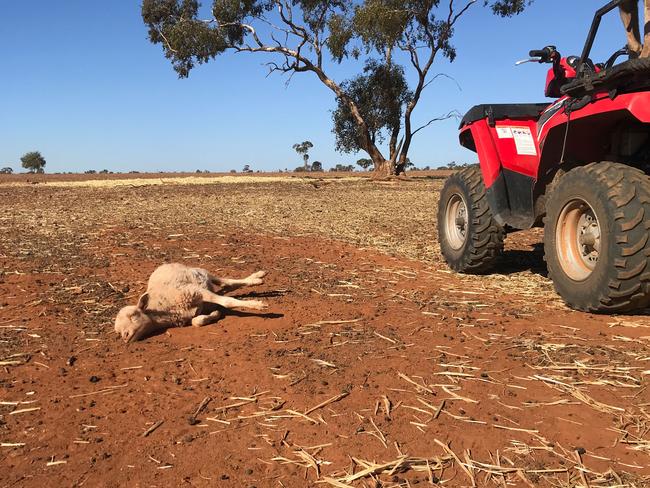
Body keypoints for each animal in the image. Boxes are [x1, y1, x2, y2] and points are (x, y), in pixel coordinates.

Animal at [114, 264, 266, 344]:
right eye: (118, 332)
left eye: (133, 315)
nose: (125, 336)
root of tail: (164, 265)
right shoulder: (190, 310)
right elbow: (196, 322)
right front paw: (213, 314)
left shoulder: (194, 291)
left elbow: (227, 302)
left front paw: (258, 305)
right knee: (226, 286)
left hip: (202, 273)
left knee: (226, 281)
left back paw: (257, 278)